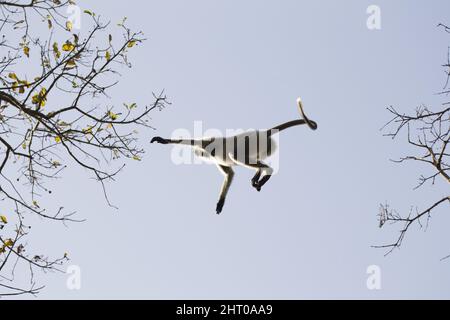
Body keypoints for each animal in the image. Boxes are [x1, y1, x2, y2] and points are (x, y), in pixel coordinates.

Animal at [151, 96, 316, 214]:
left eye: (204, 152)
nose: (202, 154)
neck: (212, 150)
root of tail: (264, 132)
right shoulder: (212, 155)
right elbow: (229, 173)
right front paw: (221, 202)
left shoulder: (207, 143)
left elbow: (189, 141)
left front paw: (162, 140)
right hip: (264, 147)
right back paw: (258, 176)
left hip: (253, 141)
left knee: (236, 154)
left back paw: (267, 172)